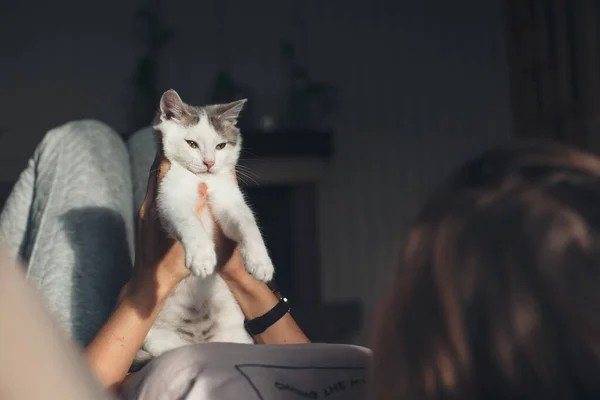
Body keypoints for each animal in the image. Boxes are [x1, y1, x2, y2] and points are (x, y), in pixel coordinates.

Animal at [134, 89, 274, 368]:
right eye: (192, 144)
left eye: (221, 146)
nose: (209, 163)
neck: (204, 183)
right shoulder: (169, 197)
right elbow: (187, 221)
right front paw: (202, 257)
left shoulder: (230, 199)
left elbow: (246, 221)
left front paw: (260, 261)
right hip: (158, 341)